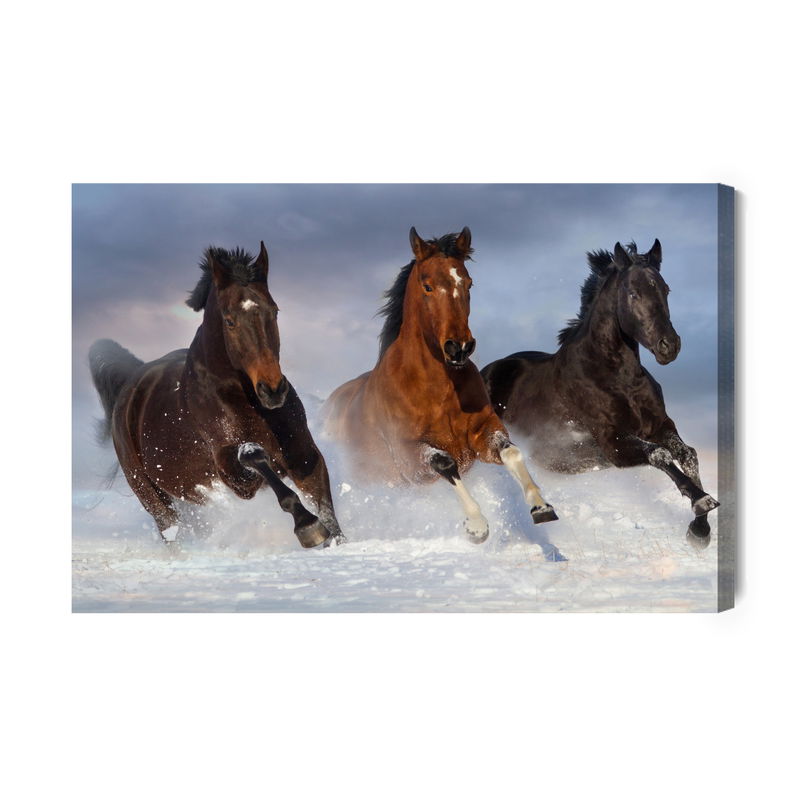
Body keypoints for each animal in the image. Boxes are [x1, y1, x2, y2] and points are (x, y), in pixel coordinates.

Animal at [89, 242, 346, 549]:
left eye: (275, 311)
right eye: (229, 320)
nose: (272, 390)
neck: (244, 398)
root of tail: (132, 382)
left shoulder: (303, 454)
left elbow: (325, 505)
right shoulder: (234, 475)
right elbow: (255, 457)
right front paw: (307, 526)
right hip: (150, 494)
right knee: (170, 530)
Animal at [323, 227, 557, 543]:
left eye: (468, 283)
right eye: (427, 286)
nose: (459, 347)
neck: (438, 389)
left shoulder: (482, 434)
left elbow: (511, 452)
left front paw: (541, 506)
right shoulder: (410, 457)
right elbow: (445, 464)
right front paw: (477, 526)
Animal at [480, 240, 719, 546]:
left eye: (665, 289)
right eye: (633, 293)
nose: (669, 346)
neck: (617, 378)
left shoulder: (659, 425)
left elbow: (688, 454)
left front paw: (700, 530)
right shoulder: (612, 441)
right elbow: (660, 455)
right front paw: (701, 501)